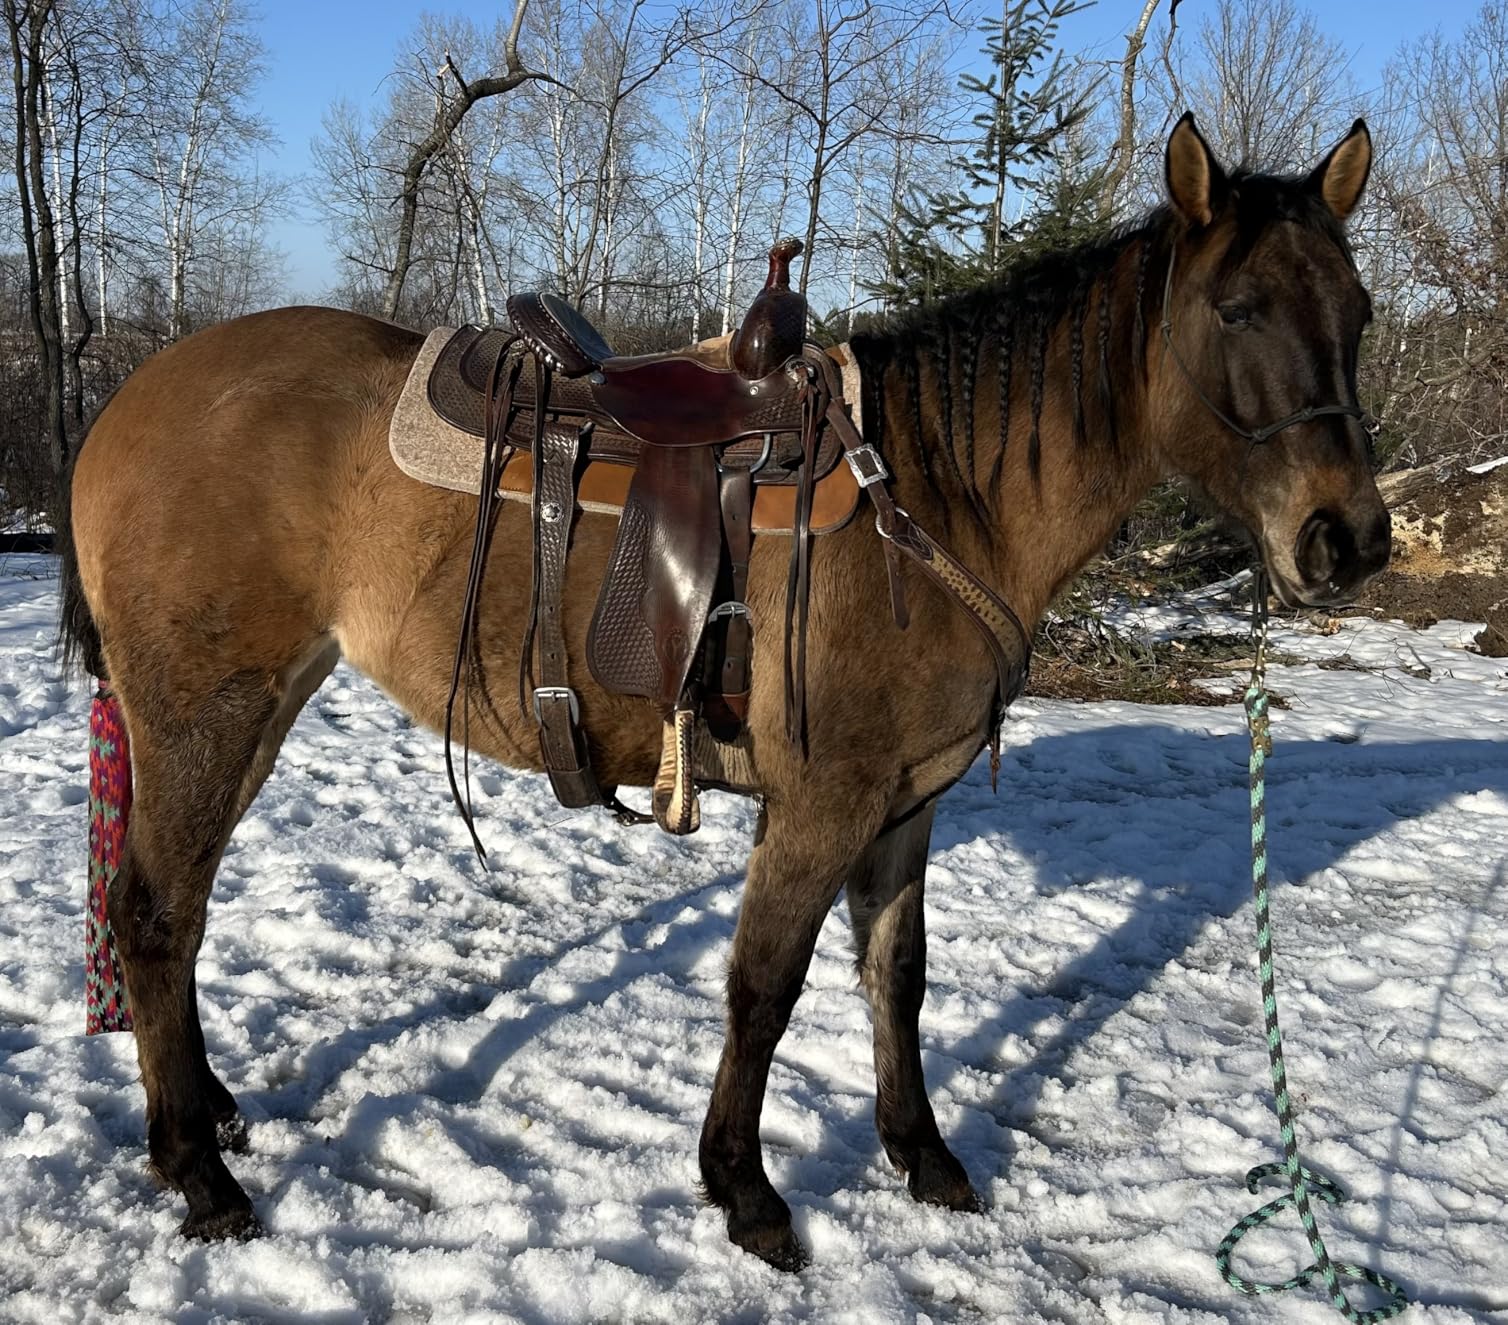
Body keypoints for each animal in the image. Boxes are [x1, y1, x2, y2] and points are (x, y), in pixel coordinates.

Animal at [57, 114, 1388, 1269]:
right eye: (1234, 309)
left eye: (1361, 312)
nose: (1347, 539)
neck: (933, 495)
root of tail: (127, 399)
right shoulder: (822, 804)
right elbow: (763, 986)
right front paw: (744, 1190)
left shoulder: (904, 807)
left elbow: (895, 977)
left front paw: (920, 1154)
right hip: (206, 713)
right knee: (155, 914)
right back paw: (197, 1169)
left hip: (253, 710)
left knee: (172, 915)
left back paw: (209, 1114)